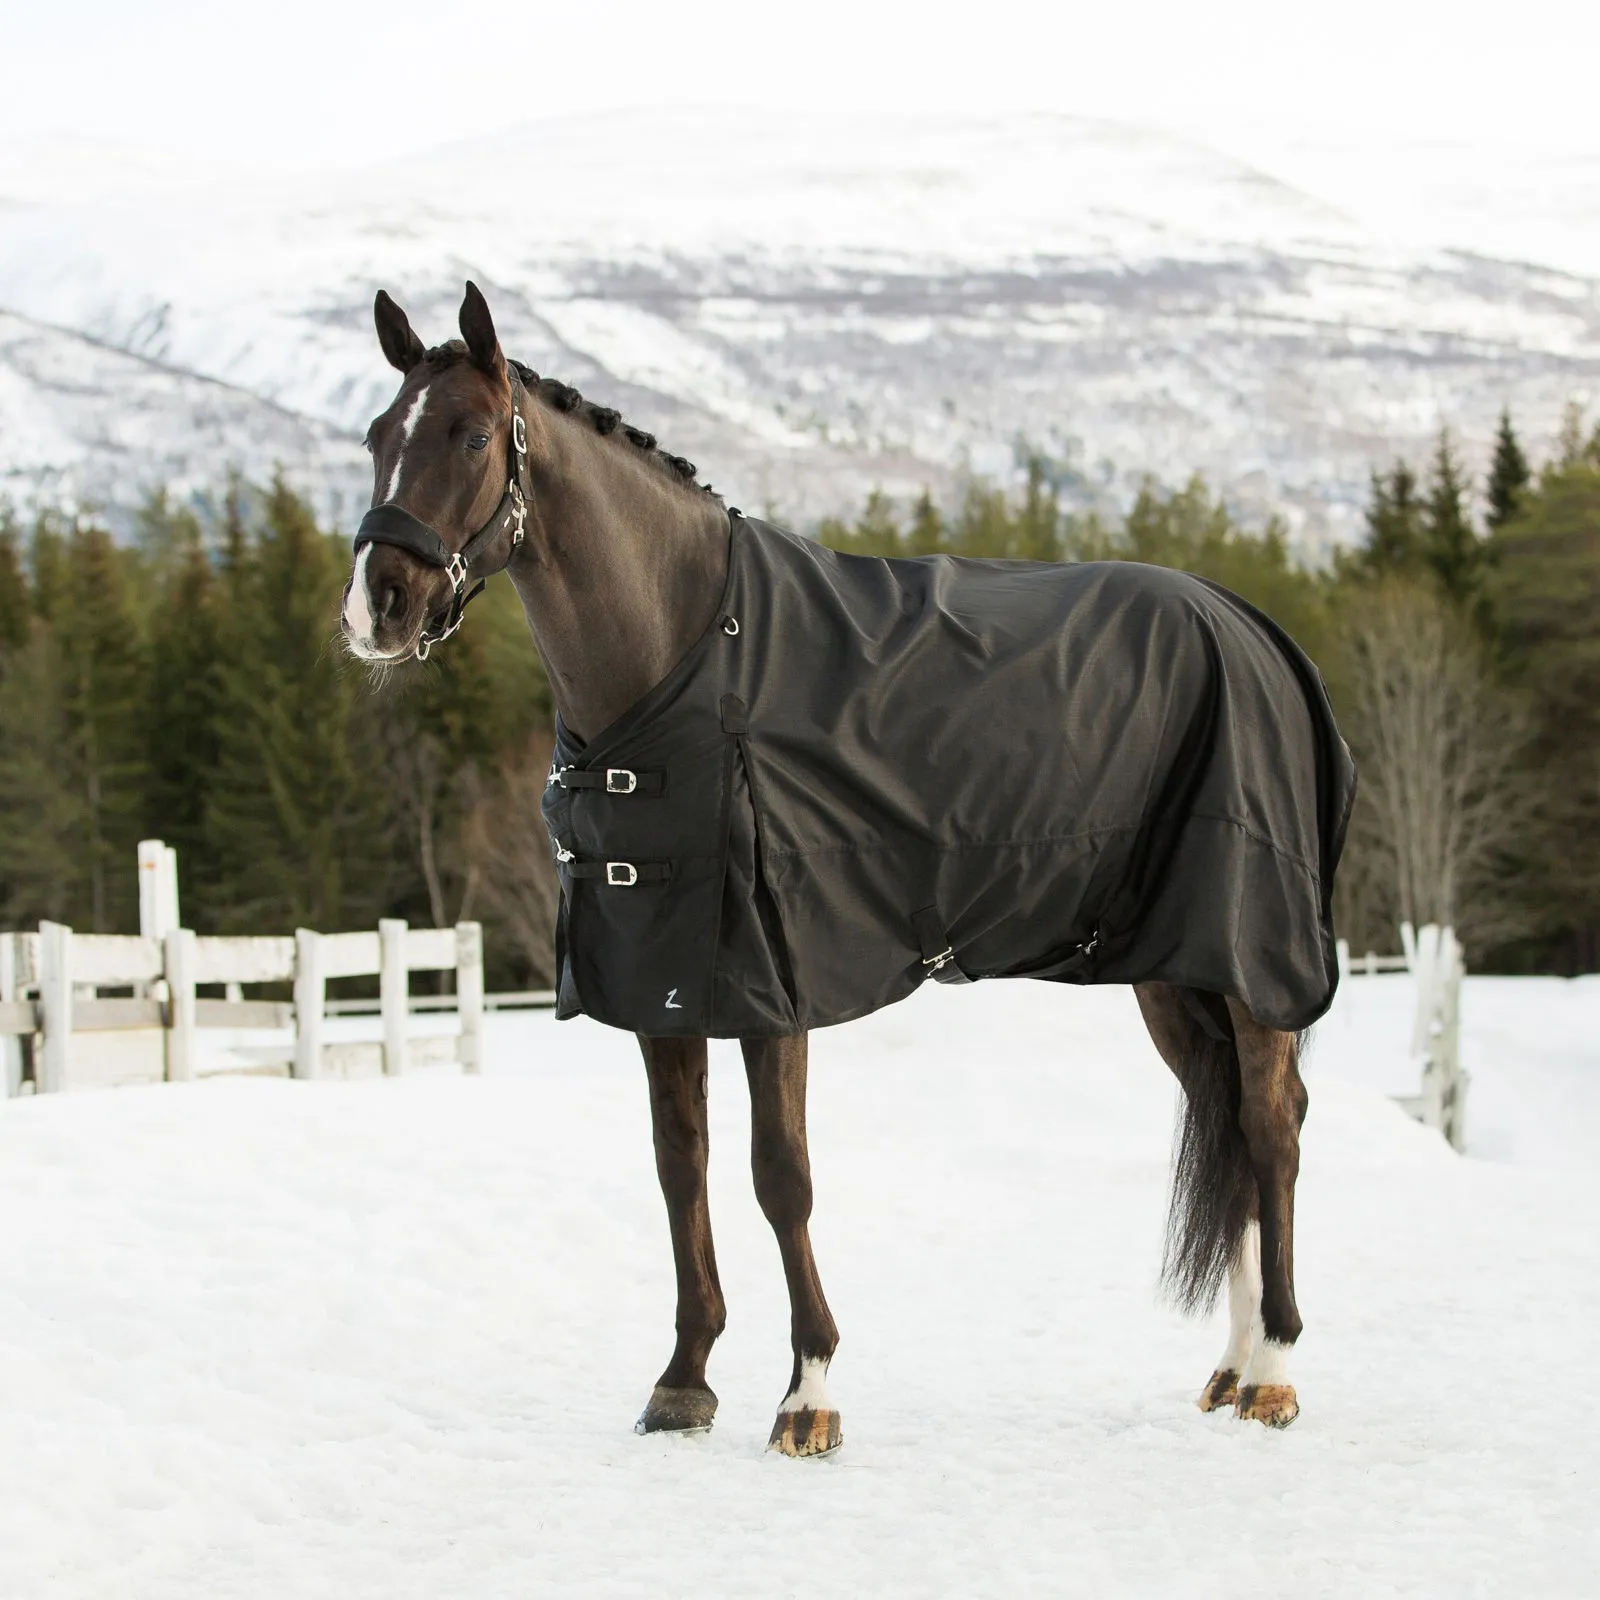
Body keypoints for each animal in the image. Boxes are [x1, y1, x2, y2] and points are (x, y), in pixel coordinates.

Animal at [337, 281, 1350, 1459]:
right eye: (377, 438)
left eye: (465, 435)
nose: (376, 606)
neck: (689, 653)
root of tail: (1255, 629)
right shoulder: (661, 985)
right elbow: (679, 1167)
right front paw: (684, 1381)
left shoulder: (771, 982)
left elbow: (781, 1177)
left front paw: (806, 1392)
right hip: (1175, 967)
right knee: (1228, 1124)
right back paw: (1231, 1367)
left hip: (1247, 957)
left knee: (1272, 1127)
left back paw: (1276, 1372)